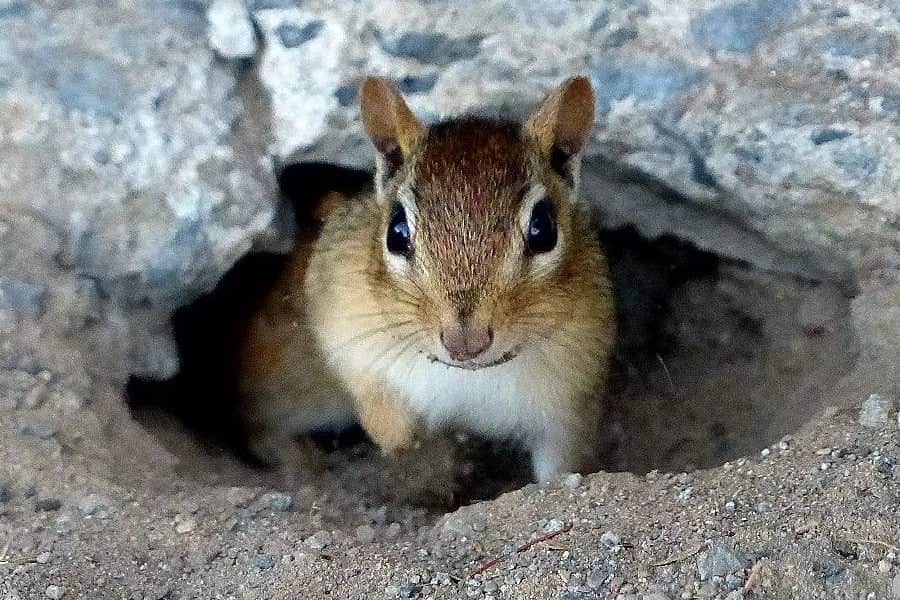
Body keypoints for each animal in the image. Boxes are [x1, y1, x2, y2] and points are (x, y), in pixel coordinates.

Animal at [239, 76, 616, 482]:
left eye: (543, 229)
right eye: (396, 231)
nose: (465, 343)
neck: (467, 374)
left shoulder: (571, 405)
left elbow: (562, 469)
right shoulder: (343, 324)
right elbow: (373, 398)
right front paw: (407, 441)